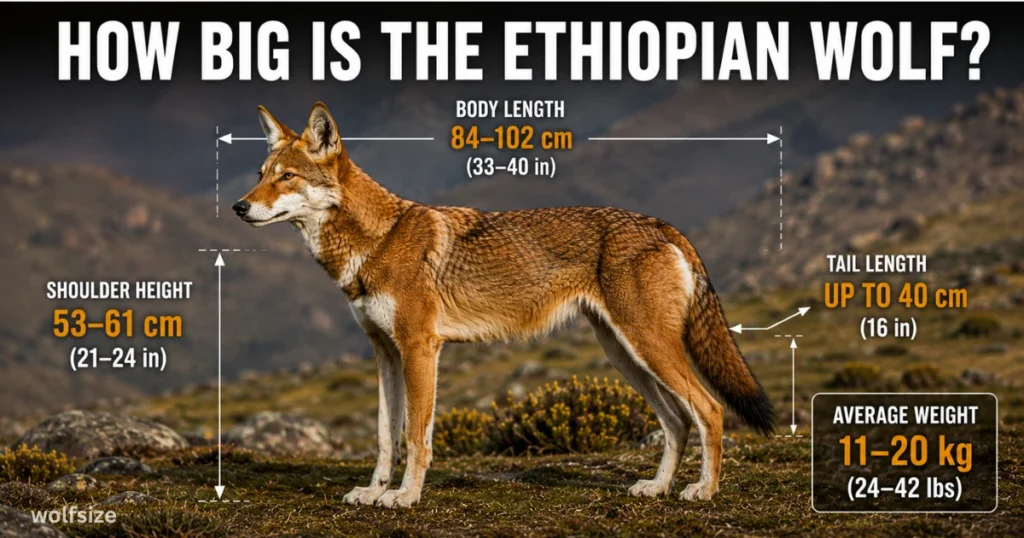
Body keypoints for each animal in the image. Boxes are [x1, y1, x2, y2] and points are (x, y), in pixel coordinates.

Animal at [233, 102, 776, 508]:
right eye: (259, 174)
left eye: (286, 177)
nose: (239, 207)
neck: (377, 241)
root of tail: (664, 226)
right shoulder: (385, 353)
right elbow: (386, 437)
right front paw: (373, 492)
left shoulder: (420, 349)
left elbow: (416, 437)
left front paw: (405, 498)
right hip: (624, 355)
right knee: (677, 420)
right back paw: (658, 487)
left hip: (647, 348)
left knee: (709, 410)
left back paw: (703, 491)